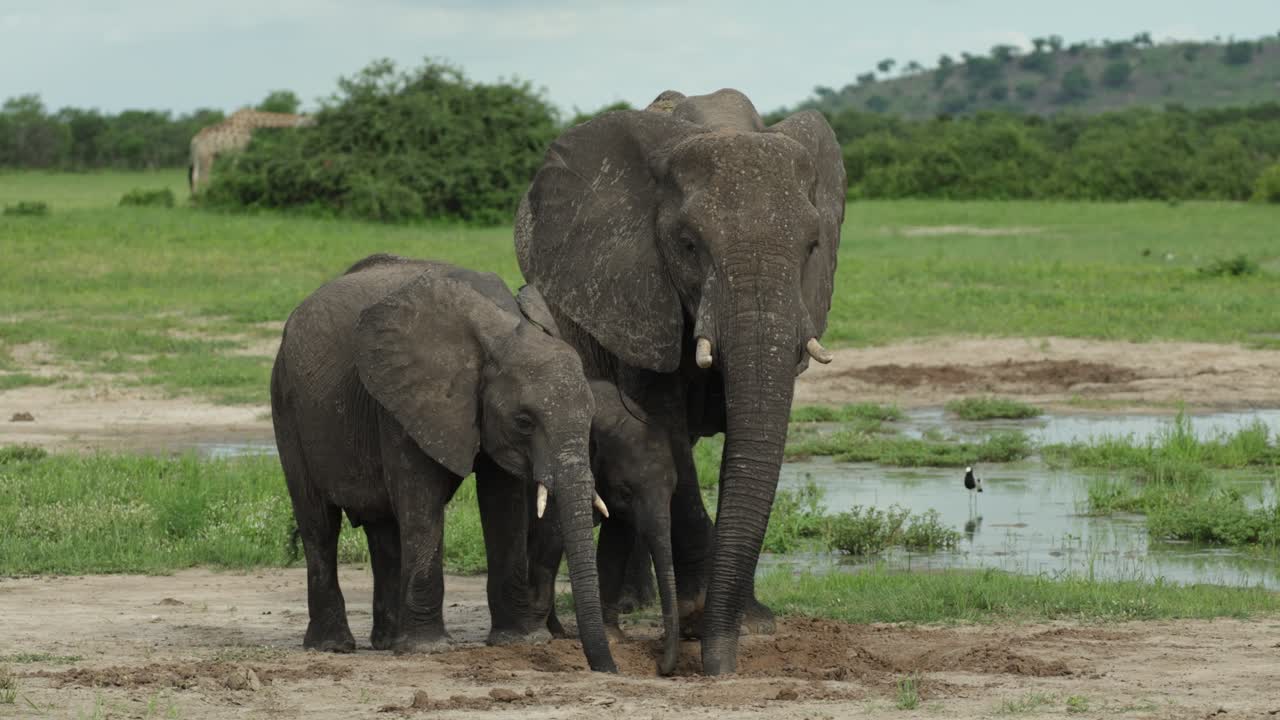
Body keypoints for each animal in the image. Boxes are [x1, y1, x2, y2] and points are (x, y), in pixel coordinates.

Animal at [270, 253, 616, 672]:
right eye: (524, 421)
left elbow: (504, 503)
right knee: (319, 523)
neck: (499, 331)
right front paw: (428, 649)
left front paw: (520, 640)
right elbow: (421, 498)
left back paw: (387, 642)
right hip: (287, 404)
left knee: (384, 528)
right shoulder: (402, 400)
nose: (607, 668)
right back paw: (333, 647)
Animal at [515, 88, 844, 674]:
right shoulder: (639, 291)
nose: (719, 666)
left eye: (812, 247)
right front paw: (698, 617)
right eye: (689, 245)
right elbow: (663, 422)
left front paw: (749, 623)